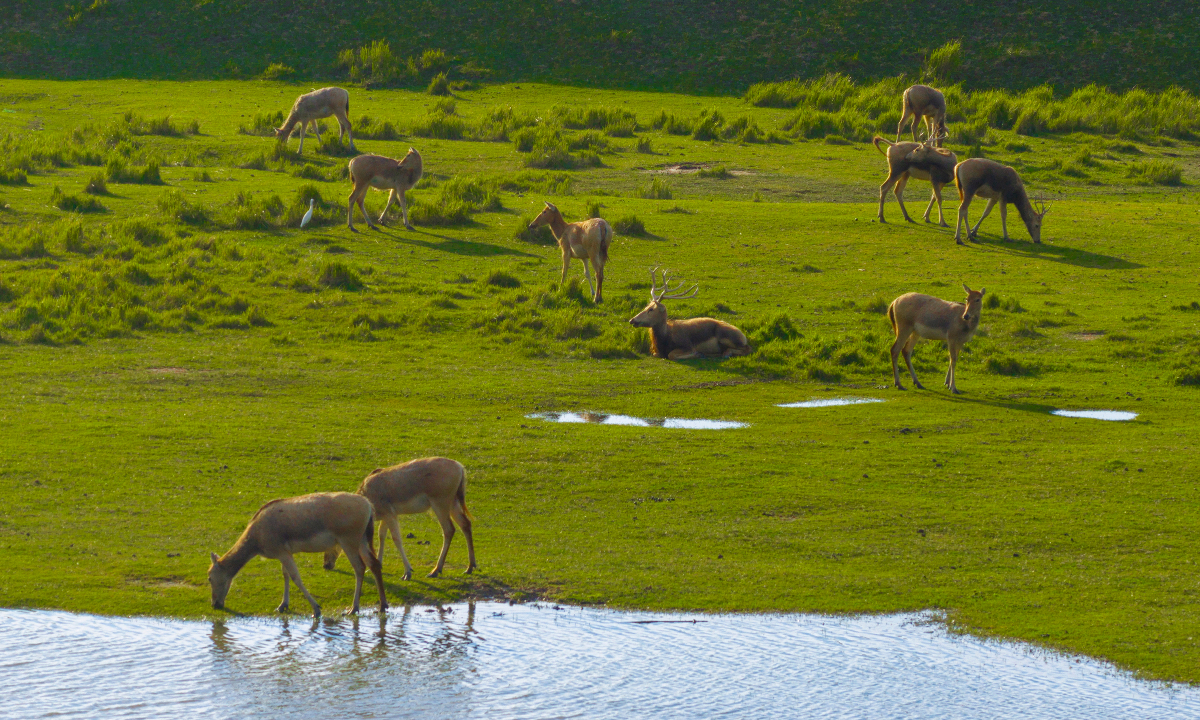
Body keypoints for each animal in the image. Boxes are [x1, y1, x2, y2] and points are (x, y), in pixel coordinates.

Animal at [207, 492, 388, 618]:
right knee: (374, 563)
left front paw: (316, 609)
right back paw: (383, 605)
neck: (257, 542)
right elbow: (285, 574)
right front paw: (282, 605)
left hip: (348, 538)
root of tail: (369, 506)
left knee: (360, 567)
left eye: (209, 578)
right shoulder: (284, 551)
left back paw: (353, 608)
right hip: (362, 538)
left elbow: (295, 576)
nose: (215, 604)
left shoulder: (279, 550)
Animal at [323, 457, 477, 581]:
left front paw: (407, 572)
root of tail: (460, 468)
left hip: (440, 502)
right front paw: (379, 564)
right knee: (465, 523)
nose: (326, 565)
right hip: (453, 502)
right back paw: (470, 567)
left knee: (449, 529)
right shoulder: (387, 515)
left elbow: (396, 538)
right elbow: (381, 535)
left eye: (334, 540)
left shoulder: (390, 513)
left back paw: (435, 570)